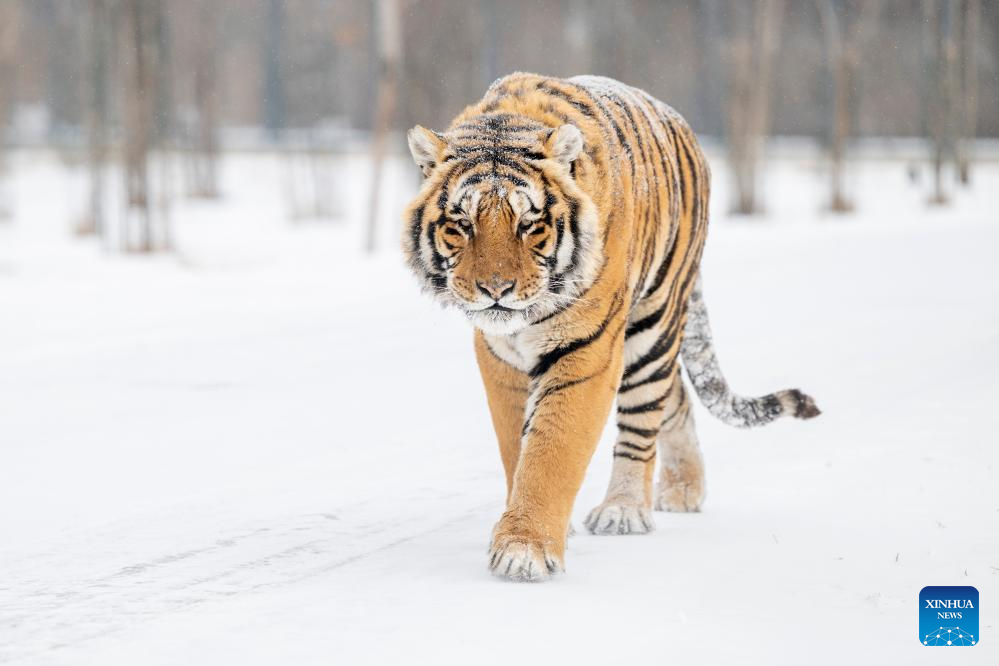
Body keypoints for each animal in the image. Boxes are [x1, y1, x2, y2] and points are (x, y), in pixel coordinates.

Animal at [402, 72, 819, 582]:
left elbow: (551, 449)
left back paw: (625, 510)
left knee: (644, 417)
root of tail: (674, 117)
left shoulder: (586, 348)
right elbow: (516, 447)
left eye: (529, 225)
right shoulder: (501, 357)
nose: (495, 289)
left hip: (653, 324)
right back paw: (683, 489)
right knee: (677, 396)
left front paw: (524, 550)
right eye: (461, 224)